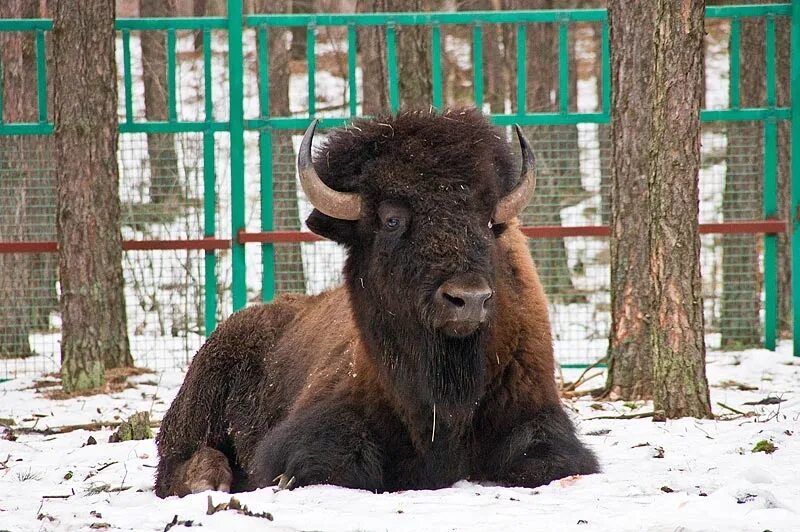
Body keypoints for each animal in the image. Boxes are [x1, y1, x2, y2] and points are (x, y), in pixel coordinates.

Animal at [153, 109, 596, 498]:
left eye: (487, 221)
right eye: (391, 220)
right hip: (197, 412)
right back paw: (208, 480)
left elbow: (550, 460)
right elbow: (333, 461)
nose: (469, 298)